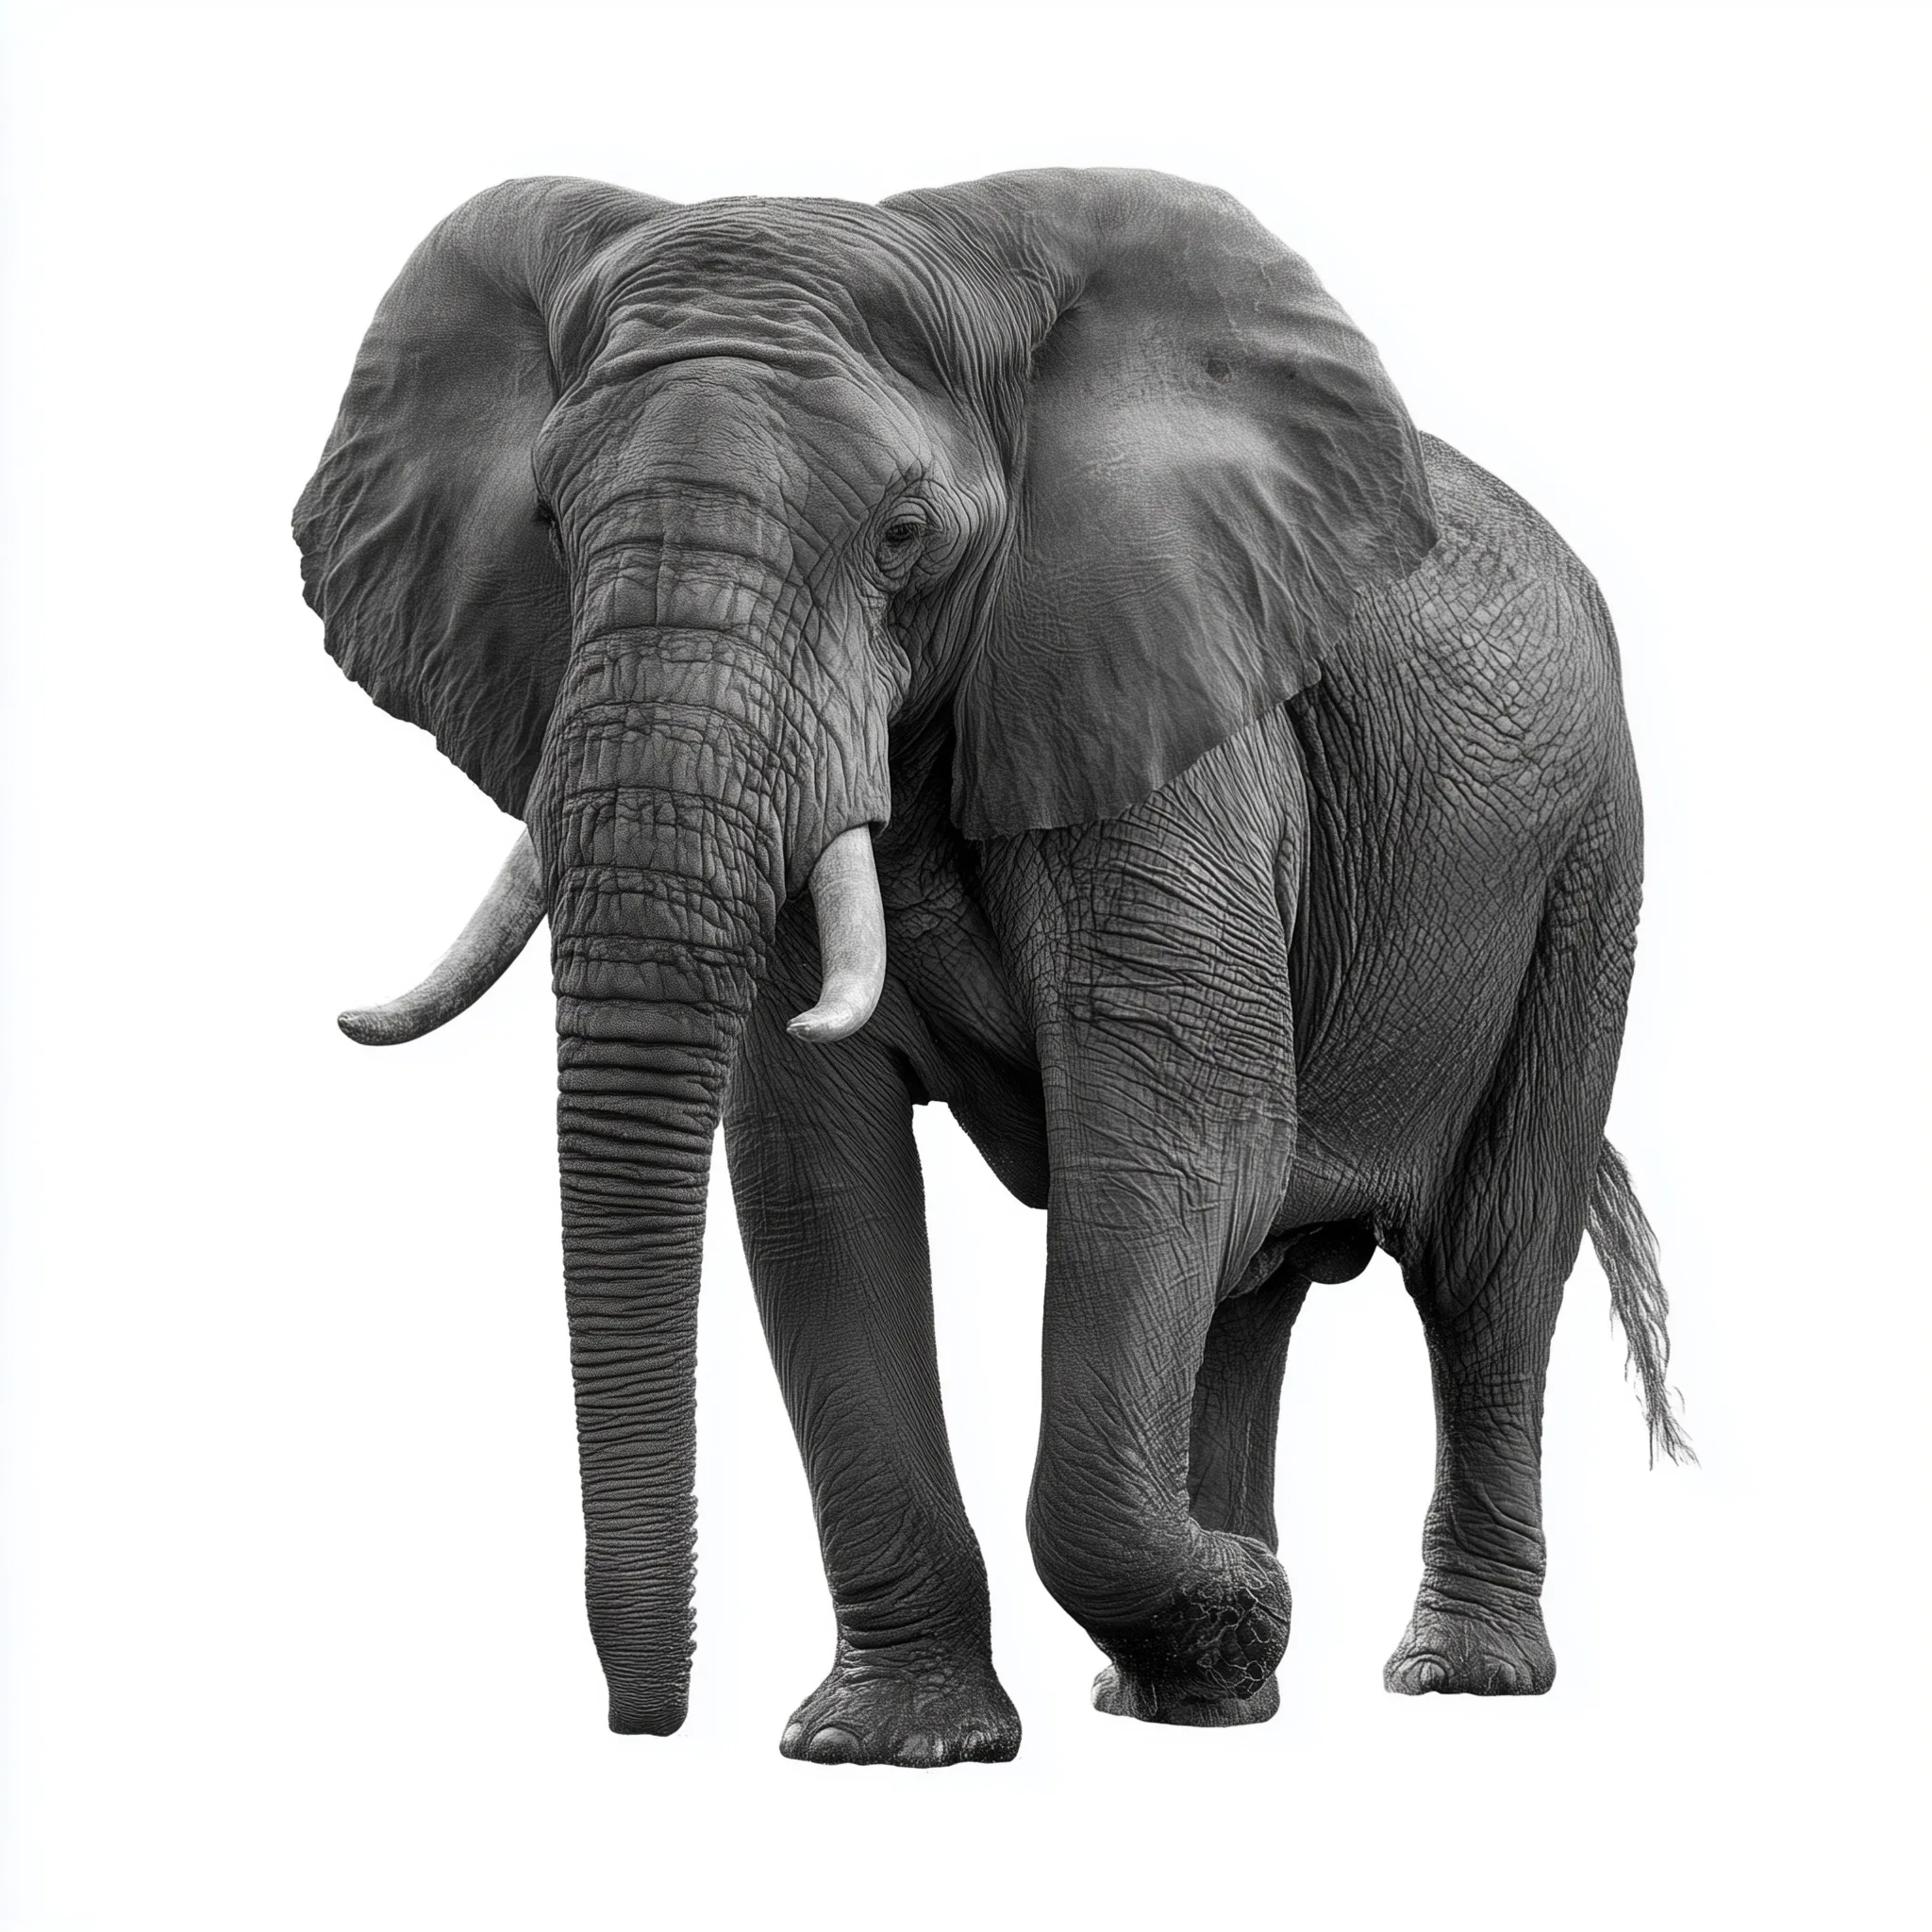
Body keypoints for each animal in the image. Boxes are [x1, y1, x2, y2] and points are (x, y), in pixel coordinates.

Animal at [294, 167, 1689, 1768]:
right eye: (545, 519)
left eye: (904, 534)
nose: (647, 1726)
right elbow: (821, 1183)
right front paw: (896, 1747)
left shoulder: (1167, 716)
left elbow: (1165, 1148)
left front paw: (1234, 1602)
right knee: (1257, 1284)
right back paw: (1202, 1701)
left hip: (1588, 873)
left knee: (1485, 1270)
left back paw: (1447, 1676)